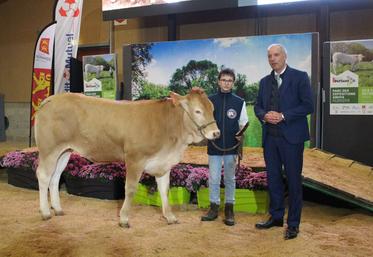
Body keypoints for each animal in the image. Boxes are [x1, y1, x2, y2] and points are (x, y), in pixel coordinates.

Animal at [35, 87, 219, 226]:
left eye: (212, 109)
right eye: (197, 111)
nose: (216, 133)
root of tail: (51, 99)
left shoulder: (164, 163)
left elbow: (165, 191)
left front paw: (170, 217)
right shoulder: (134, 159)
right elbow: (130, 189)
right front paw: (124, 218)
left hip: (64, 151)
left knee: (55, 177)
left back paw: (58, 209)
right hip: (49, 149)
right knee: (43, 176)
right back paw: (45, 212)